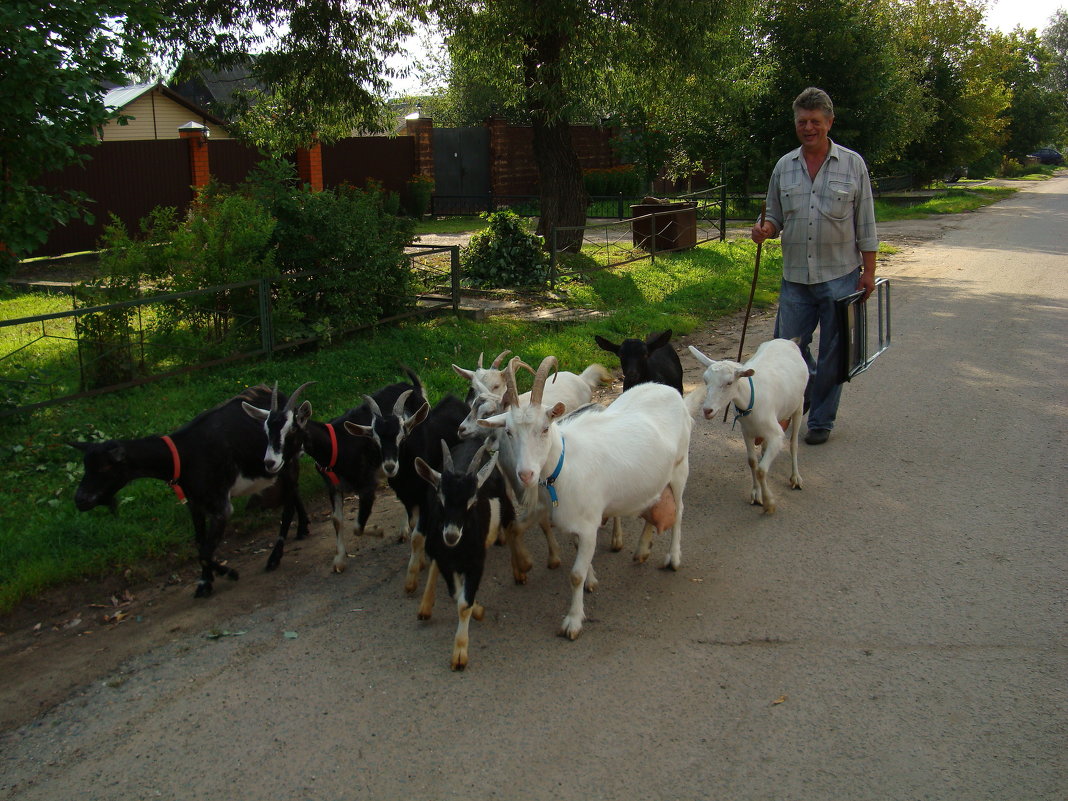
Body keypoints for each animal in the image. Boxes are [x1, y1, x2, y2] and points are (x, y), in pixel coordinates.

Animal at [71, 386, 311, 598]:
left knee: (288, 504)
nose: (80, 499)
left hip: (287, 464)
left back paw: (275, 556)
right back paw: (303, 528)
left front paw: (228, 573)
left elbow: (205, 551)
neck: (184, 455)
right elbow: (199, 543)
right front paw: (205, 582)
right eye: (86, 465)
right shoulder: (195, 503)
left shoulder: (220, 506)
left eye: (104, 467)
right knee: (295, 492)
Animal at [478, 356, 692, 640]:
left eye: (545, 428)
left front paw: (573, 621)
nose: (526, 474)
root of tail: (669, 391)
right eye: (509, 432)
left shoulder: (590, 525)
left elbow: (575, 575)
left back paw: (673, 558)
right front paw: (585, 579)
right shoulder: (563, 516)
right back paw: (642, 550)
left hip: (680, 467)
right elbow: (568, 548)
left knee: (679, 511)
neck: (563, 464)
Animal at [687, 337, 803, 514]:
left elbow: (761, 470)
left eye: (729, 383)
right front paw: (756, 494)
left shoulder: (776, 435)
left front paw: (769, 503)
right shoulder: (746, 431)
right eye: (706, 380)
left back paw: (795, 477)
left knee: (794, 443)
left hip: (799, 404)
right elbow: (752, 462)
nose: (707, 410)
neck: (751, 397)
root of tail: (786, 340)